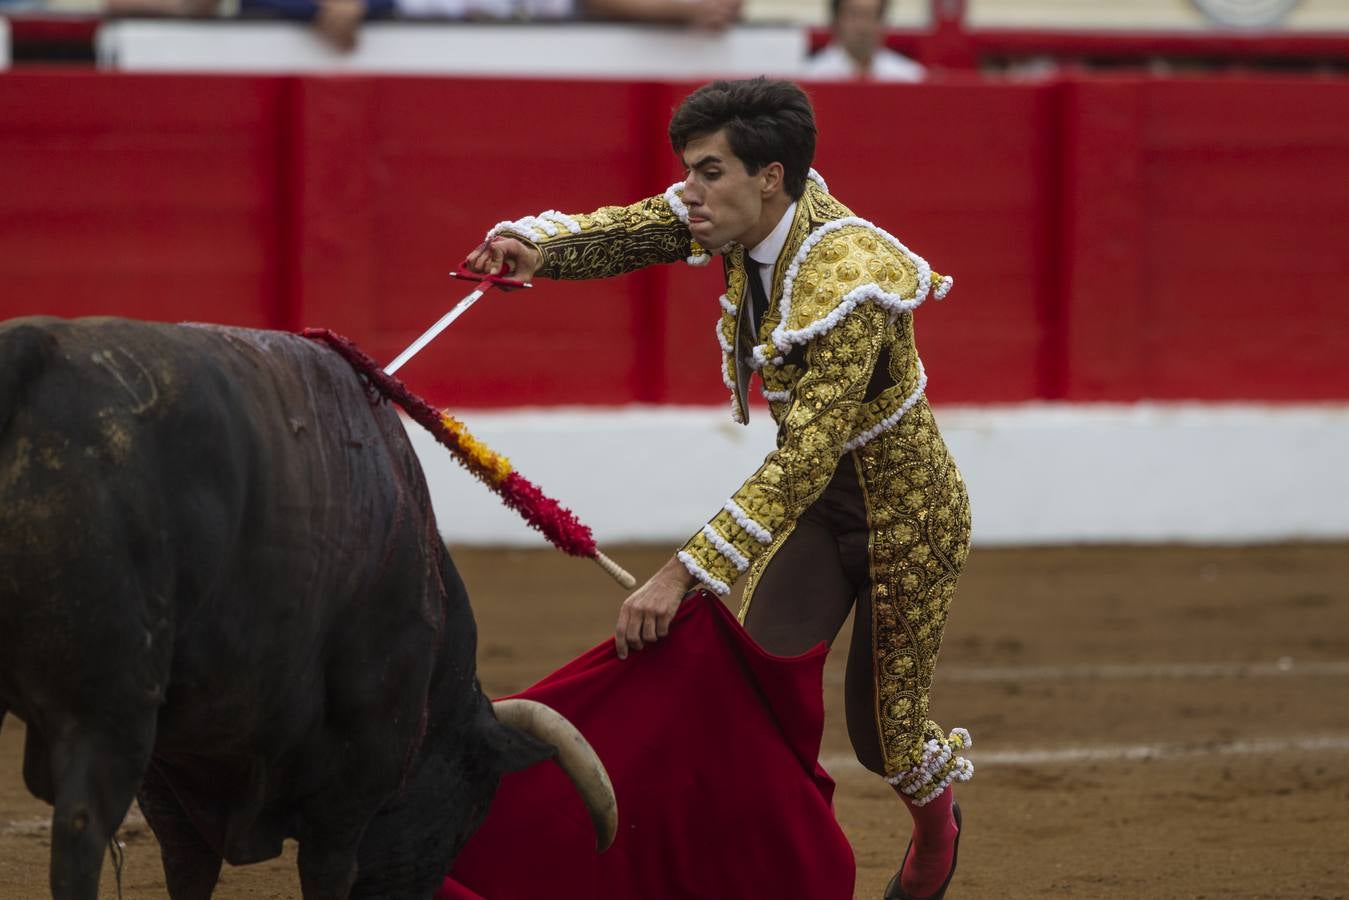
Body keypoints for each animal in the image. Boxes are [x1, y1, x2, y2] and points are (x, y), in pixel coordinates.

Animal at [0, 317, 617, 900]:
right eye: (471, 811)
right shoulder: (361, 763)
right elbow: (326, 872)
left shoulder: (170, 774)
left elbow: (188, 869)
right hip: (105, 713)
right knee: (80, 835)